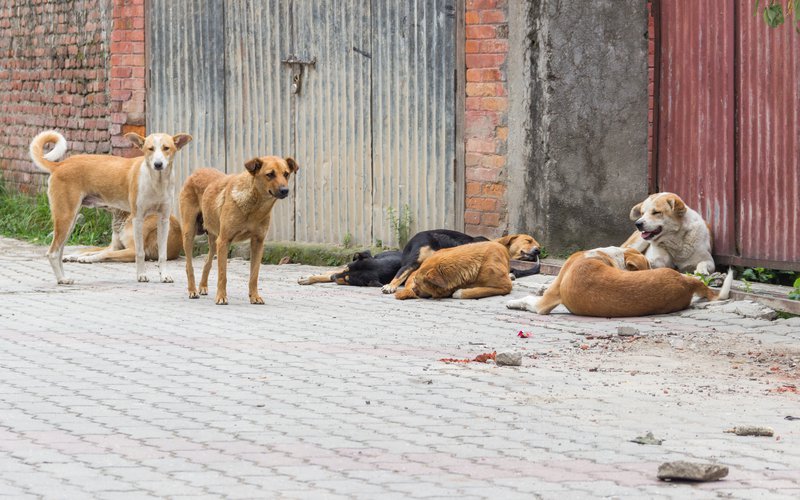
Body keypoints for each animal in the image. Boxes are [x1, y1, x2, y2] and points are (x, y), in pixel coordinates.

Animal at [28, 130, 192, 286]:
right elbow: (139, 253)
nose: (158, 164)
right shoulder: (138, 219)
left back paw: (63, 278)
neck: (156, 182)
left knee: (59, 252)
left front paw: (164, 276)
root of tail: (59, 165)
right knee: (52, 252)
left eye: (166, 148)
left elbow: (162, 255)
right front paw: (141, 275)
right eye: (150, 149)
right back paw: (62, 279)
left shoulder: (164, 220)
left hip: (70, 221)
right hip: (65, 217)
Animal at [180, 156, 298, 304]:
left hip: (213, 240)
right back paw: (192, 290)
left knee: (207, 261)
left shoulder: (258, 243)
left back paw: (203, 286)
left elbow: (254, 275)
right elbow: (222, 274)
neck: (255, 206)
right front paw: (221, 297)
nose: (285, 190)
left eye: (286, 174)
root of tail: (195, 172)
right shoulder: (224, 241)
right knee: (188, 265)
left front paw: (255, 296)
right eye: (270, 174)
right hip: (189, 233)